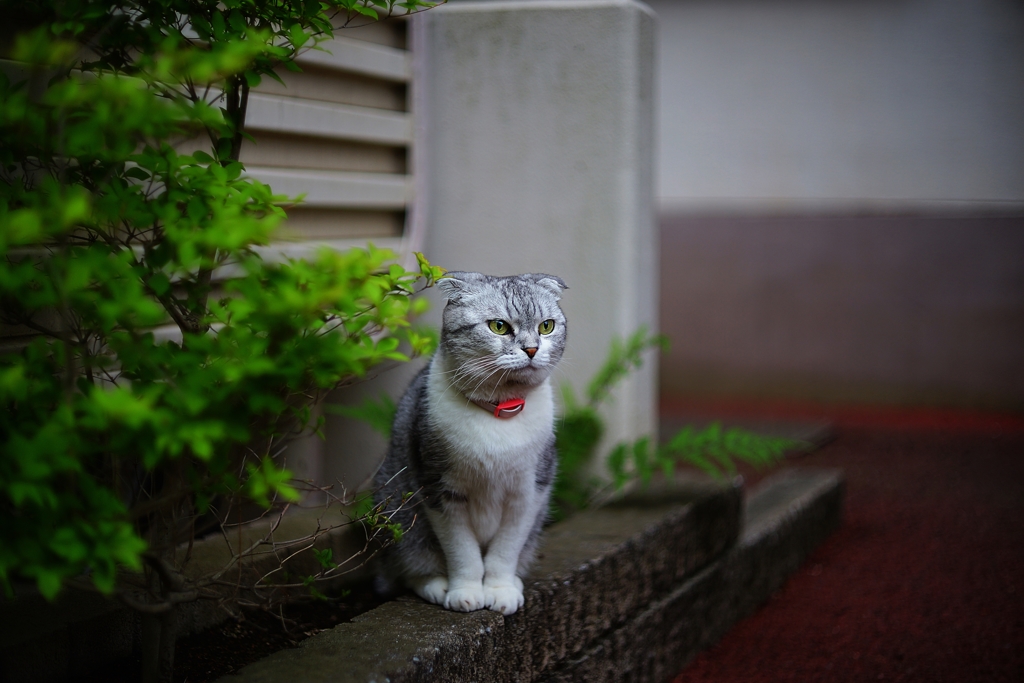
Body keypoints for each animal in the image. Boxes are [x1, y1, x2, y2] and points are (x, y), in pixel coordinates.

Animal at [374, 270, 569, 618]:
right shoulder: (439, 489)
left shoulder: (529, 492)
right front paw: (465, 593)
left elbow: (505, 551)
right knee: (413, 569)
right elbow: (462, 552)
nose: (532, 349)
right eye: (499, 326)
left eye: (546, 326)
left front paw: (501, 591)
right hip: (399, 514)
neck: (500, 411)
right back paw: (437, 587)